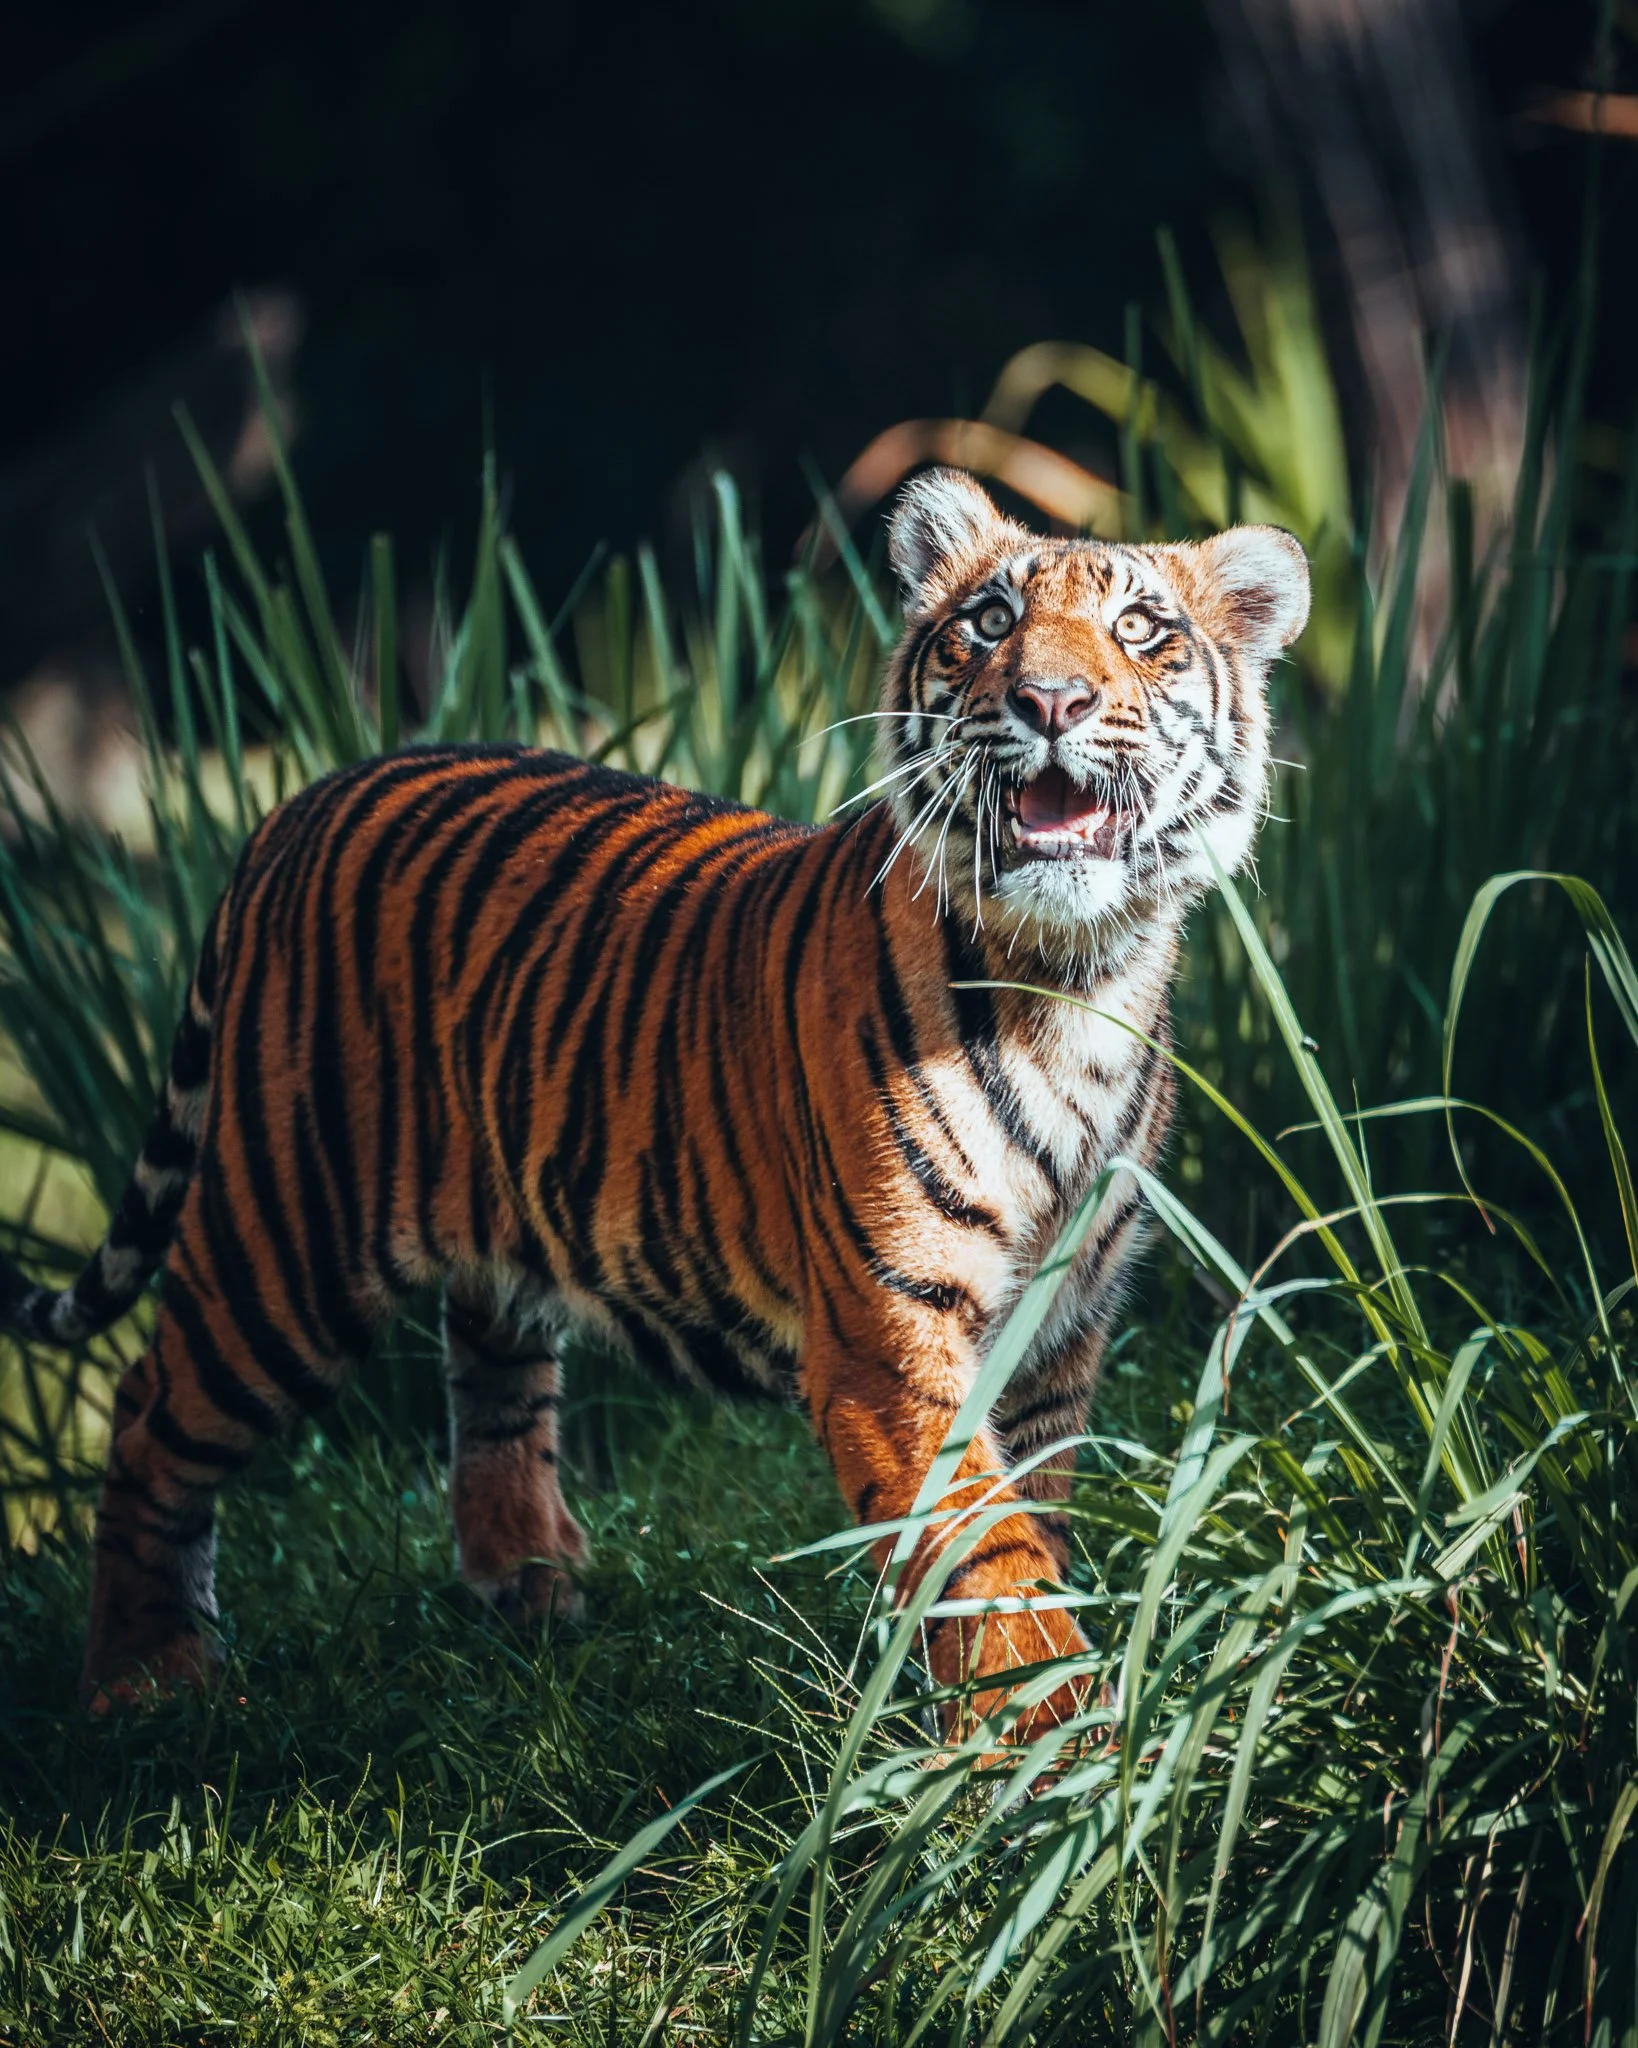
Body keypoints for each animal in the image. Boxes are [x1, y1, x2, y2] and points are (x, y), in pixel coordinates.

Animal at [1, 468, 1307, 1732]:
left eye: (1141, 632)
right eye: (990, 624)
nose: (1050, 701)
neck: (1074, 981)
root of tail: (297, 801)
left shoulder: (1058, 1333)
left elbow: (1034, 1517)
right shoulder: (892, 1338)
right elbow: (987, 1548)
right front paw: (1051, 1731)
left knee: (493, 1382)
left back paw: (532, 1594)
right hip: (287, 1238)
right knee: (147, 1409)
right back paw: (146, 1679)